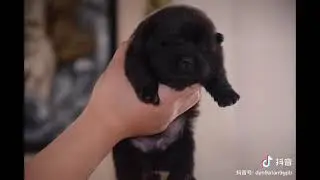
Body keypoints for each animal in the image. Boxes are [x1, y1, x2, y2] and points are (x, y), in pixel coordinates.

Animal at [112, 4, 240, 180]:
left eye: (203, 48)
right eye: (174, 42)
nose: (188, 61)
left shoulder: (214, 62)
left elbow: (218, 77)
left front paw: (228, 95)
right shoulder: (136, 54)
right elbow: (143, 73)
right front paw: (149, 94)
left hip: (184, 146)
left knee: (181, 168)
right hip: (126, 153)